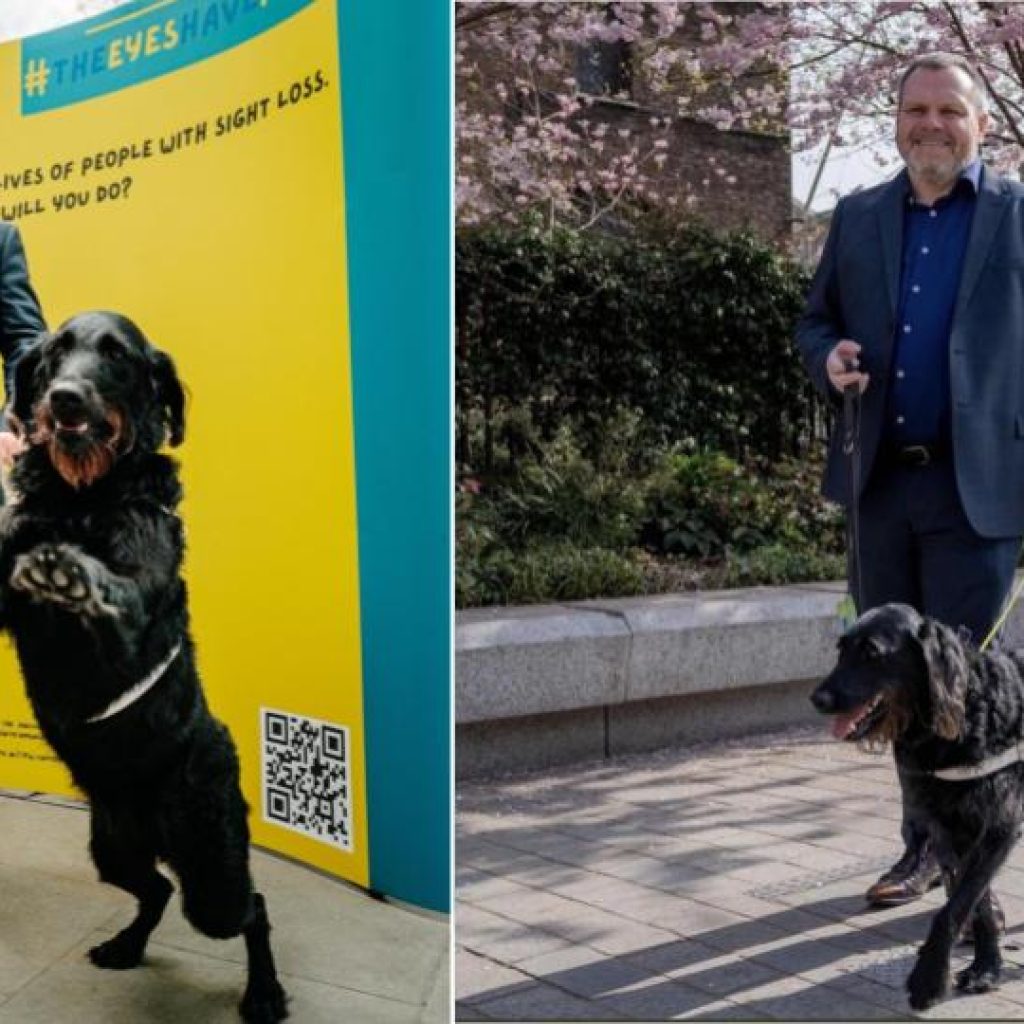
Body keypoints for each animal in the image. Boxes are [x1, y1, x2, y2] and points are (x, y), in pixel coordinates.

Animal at [0, 311, 288, 1024]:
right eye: (55, 352)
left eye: (118, 357)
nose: (65, 400)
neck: (82, 495)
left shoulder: (130, 610)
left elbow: (117, 591)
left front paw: (70, 573)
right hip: (113, 846)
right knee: (154, 890)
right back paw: (126, 944)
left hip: (212, 869)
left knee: (250, 907)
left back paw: (264, 992)